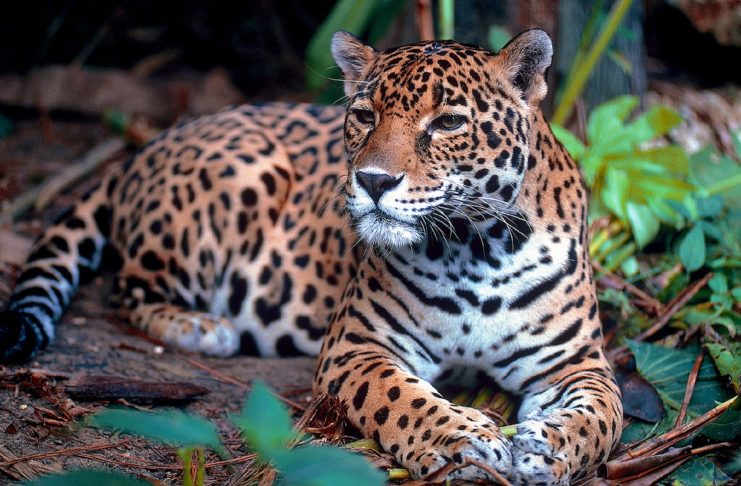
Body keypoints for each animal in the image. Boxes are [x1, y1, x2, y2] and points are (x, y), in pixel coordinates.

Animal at [0, 30, 623, 484]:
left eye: (448, 123)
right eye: (365, 115)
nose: (373, 181)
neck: (473, 248)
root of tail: (143, 148)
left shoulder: (578, 364)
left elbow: (602, 419)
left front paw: (546, 450)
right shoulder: (357, 348)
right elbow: (405, 400)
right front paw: (463, 441)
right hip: (242, 173)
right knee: (127, 288)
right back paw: (204, 327)